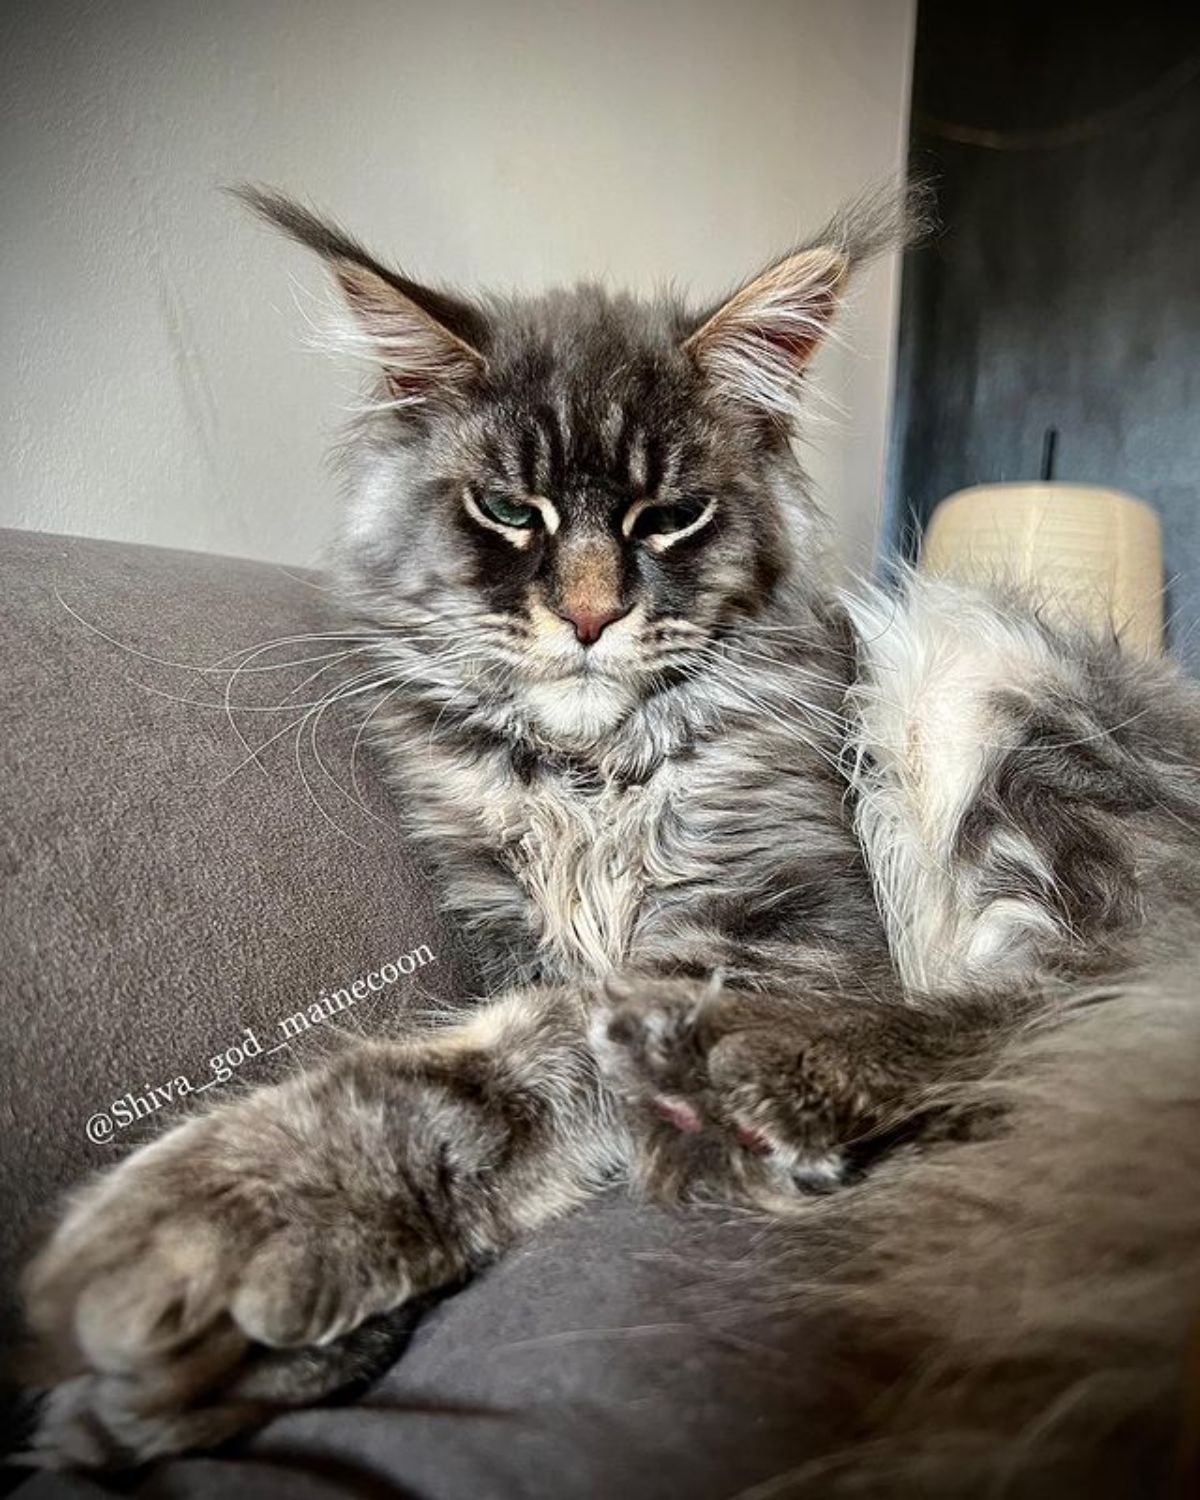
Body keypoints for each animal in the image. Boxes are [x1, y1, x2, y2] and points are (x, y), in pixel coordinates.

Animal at [18, 187, 1200, 1488]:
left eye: (670, 517)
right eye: (507, 510)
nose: (589, 616)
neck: (582, 777)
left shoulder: (786, 924)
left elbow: (533, 1052)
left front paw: (246, 1205)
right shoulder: (502, 922)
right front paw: (190, 1384)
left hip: (984, 680)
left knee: (1072, 1016)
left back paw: (775, 1085)